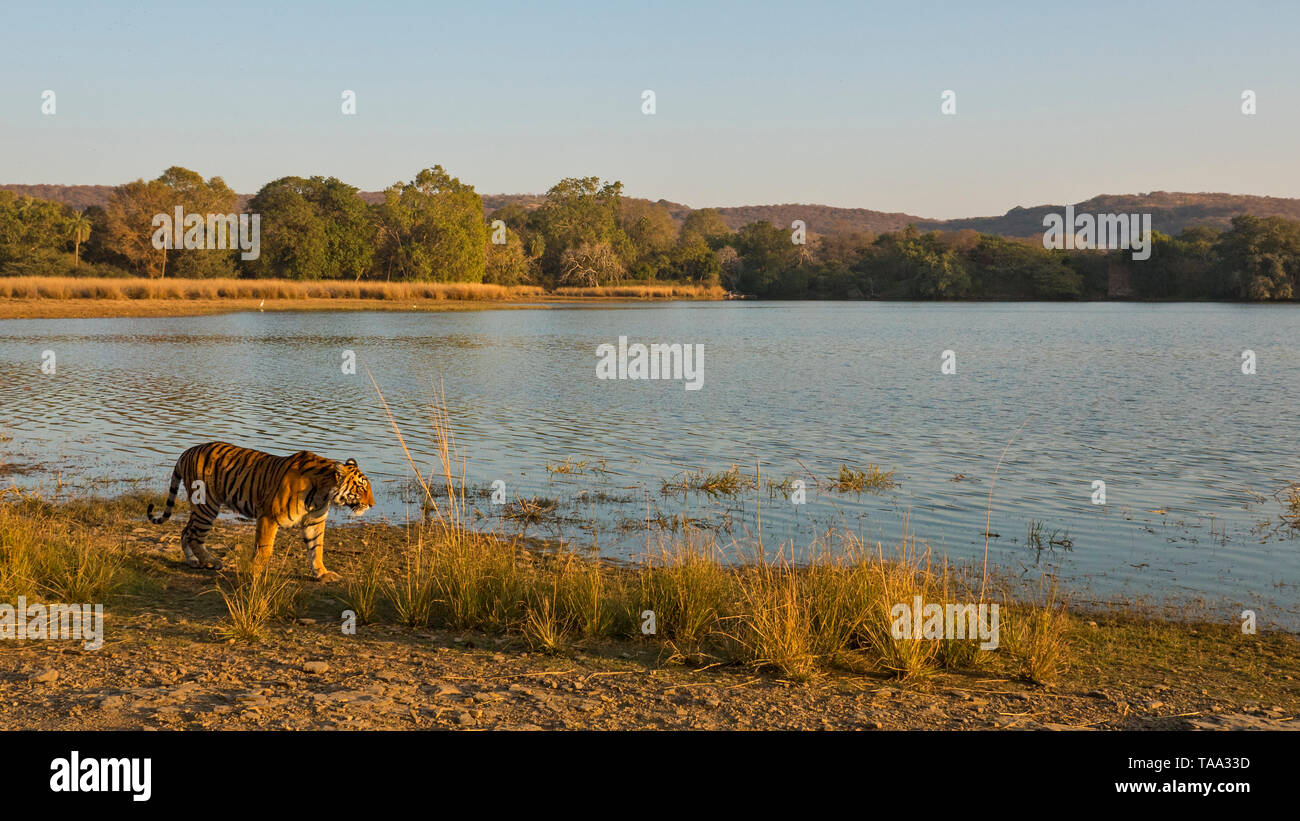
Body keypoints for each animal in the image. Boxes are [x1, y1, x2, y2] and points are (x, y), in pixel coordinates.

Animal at [146, 441, 374, 584]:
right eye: (361, 488)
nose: (372, 504)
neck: (322, 493)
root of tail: (187, 451)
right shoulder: (269, 516)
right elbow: (264, 549)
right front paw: (254, 573)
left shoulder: (314, 522)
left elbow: (316, 549)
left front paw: (322, 574)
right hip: (207, 505)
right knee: (194, 535)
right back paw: (211, 562)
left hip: (201, 507)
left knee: (186, 531)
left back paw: (193, 561)